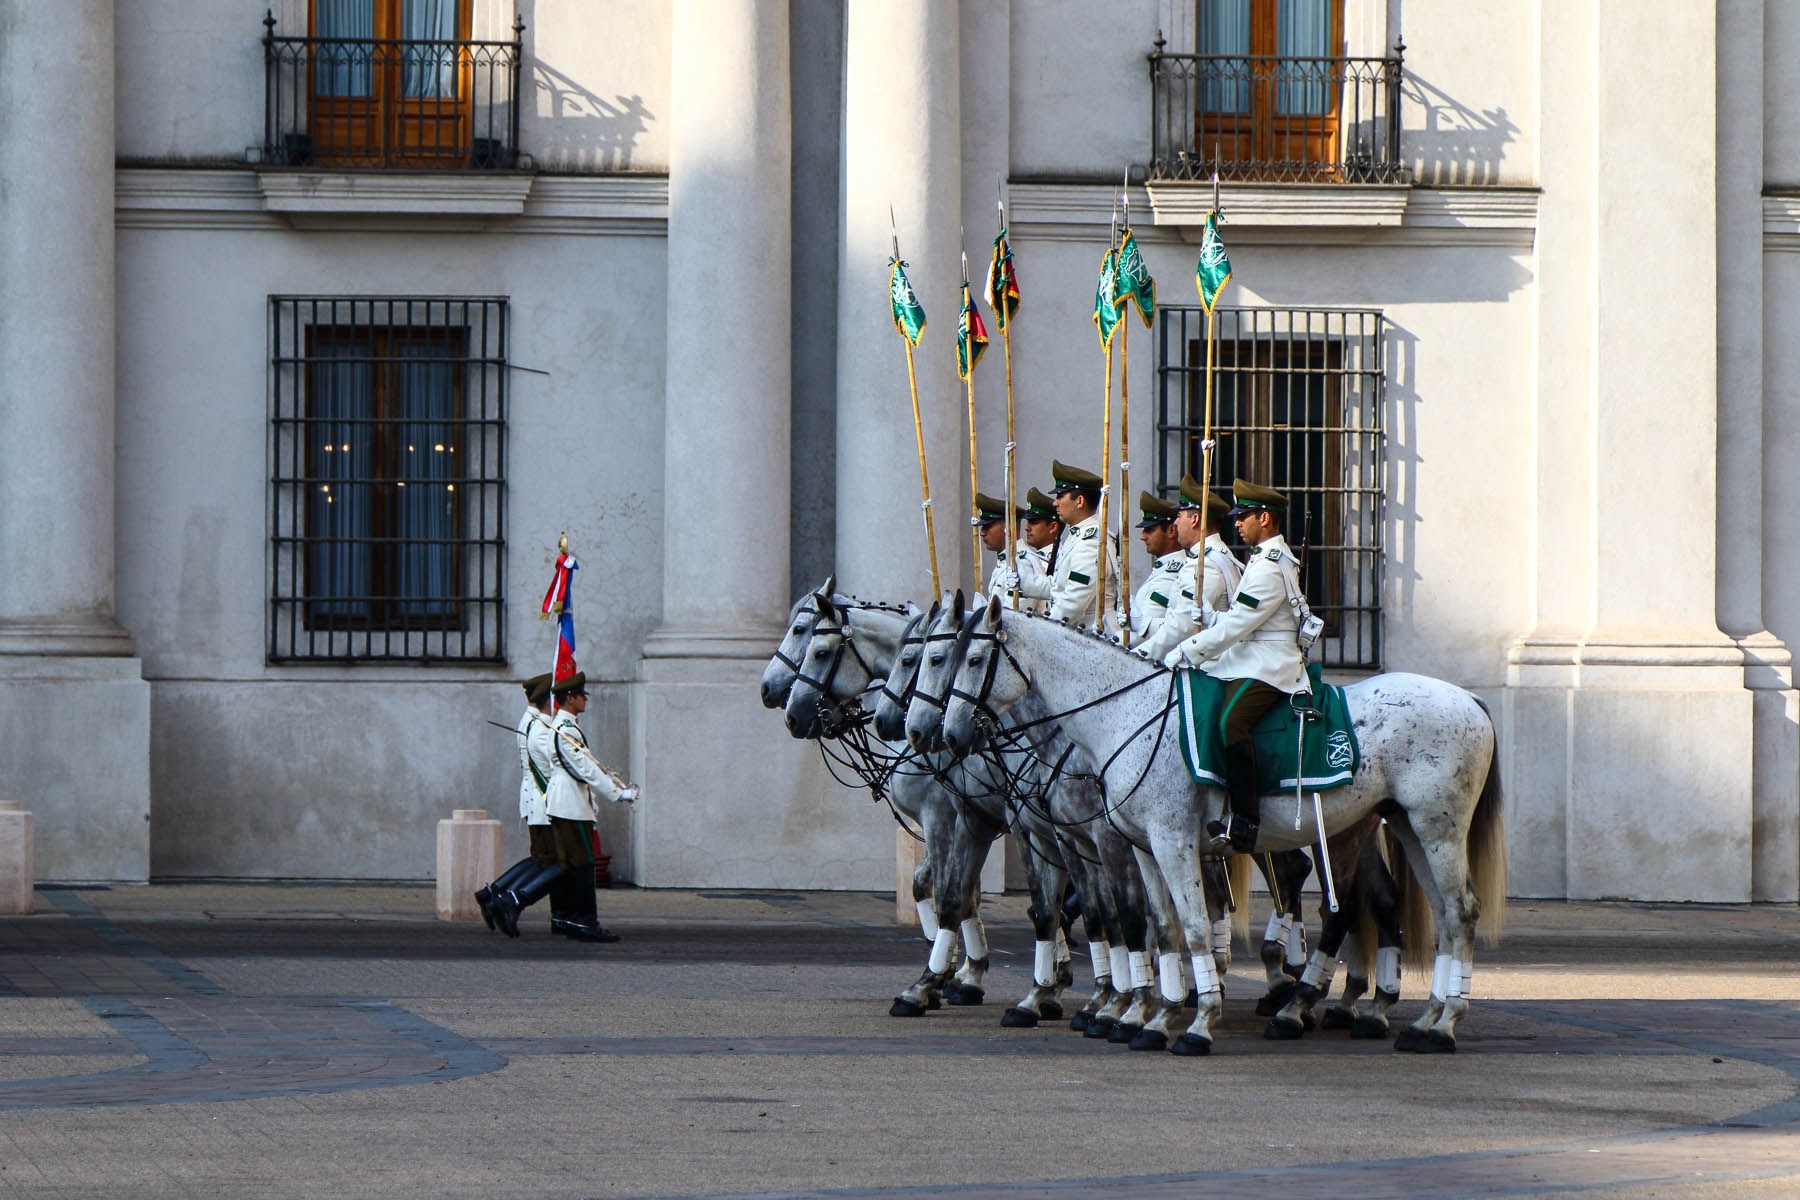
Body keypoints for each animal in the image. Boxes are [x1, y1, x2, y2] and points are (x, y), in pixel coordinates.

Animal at [928, 597, 1504, 1050]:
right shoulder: (1142, 847)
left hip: (1436, 830)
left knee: (1457, 911)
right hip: (1402, 825)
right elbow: (1160, 929)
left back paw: (1437, 1024)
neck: (1125, 714)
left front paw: (1196, 1022)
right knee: (1433, 914)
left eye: (971, 658)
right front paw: (1152, 1016)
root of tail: (1468, 697)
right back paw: (1419, 1017)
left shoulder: (1170, 841)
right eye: (944, 658)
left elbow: (1192, 927)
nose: (946, 736)